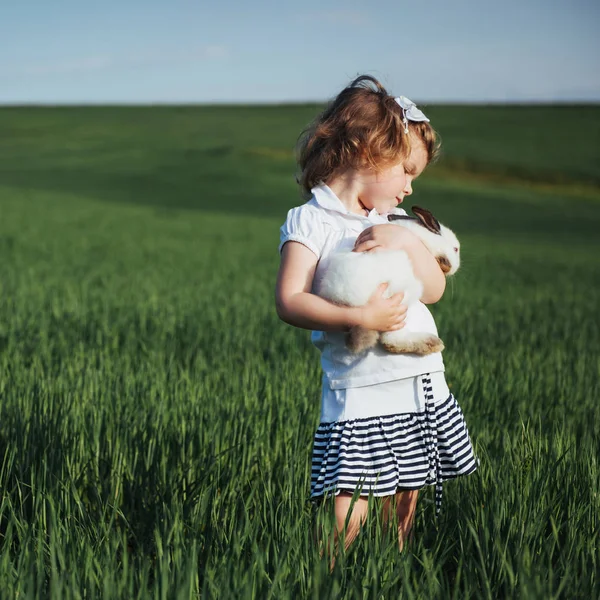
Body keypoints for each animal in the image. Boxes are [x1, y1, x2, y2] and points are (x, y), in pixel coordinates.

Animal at [318, 206, 460, 356]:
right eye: (455, 249)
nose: (452, 268)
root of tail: (344, 300)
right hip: (399, 301)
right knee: (390, 341)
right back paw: (432, 343)